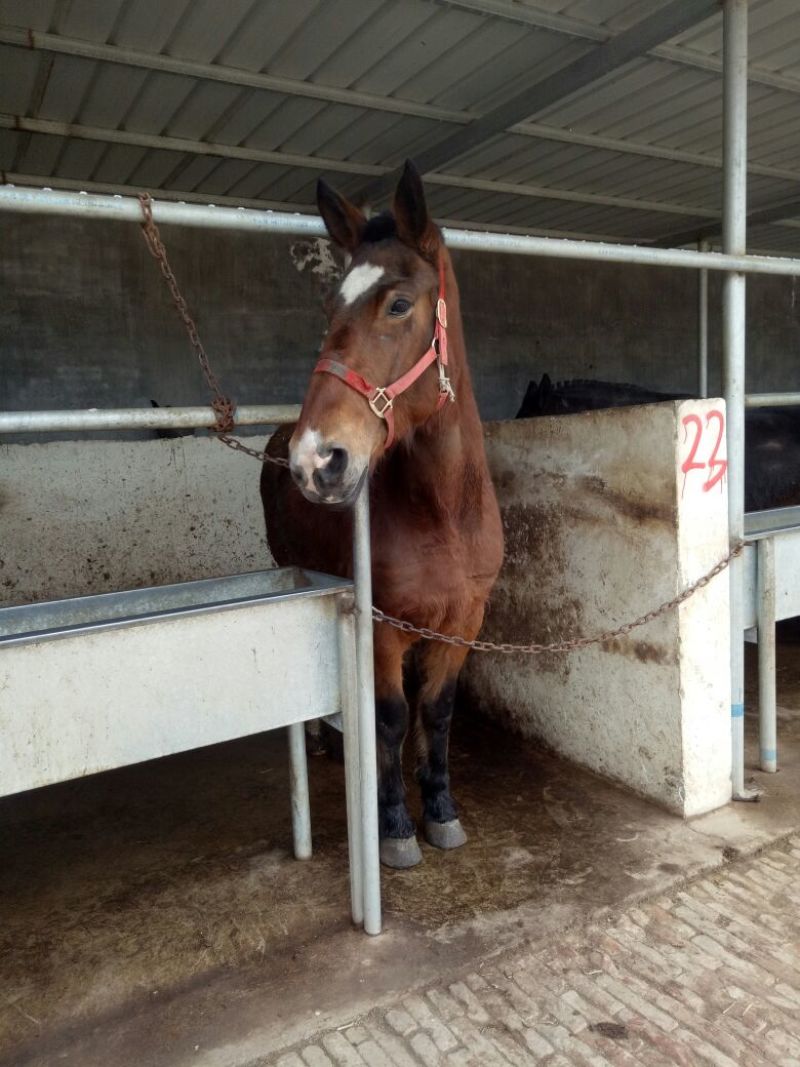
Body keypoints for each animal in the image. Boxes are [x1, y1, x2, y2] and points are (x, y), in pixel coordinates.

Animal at [261, 161, 504, 869]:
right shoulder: (381, 625)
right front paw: (395, 825)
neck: (445, 515)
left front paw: (442, 811)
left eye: (398, 305)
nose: (317, 458)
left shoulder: (464, 622)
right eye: (330, 309)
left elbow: (438, 712)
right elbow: (392, 716)